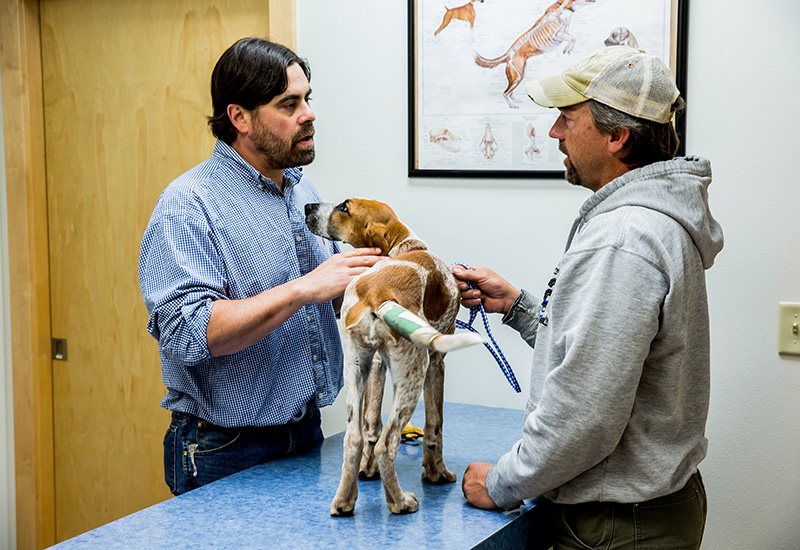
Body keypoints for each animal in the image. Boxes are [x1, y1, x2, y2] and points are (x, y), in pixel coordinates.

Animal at [306, 199, 482, 516]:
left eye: (344, 207)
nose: (306, 207)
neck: (407, 248)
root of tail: (378, 293)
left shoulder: (377, 364)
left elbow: (371, 425)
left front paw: (368, 472)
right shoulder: (437, 362)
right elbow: (435, 427)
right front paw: (437, 474)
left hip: (355, 371)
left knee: (355, 438)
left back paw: (344, 501)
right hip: (414, 372)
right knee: (387, 444)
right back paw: (399, 502)